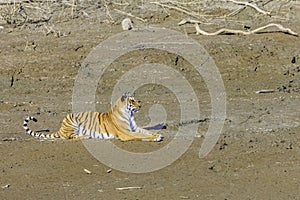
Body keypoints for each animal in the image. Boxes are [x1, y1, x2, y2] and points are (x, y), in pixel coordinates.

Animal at [22, 92, 164, 142]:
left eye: (137, 100)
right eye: (132, 100)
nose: (140, 105)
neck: (130, 114)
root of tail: (61, 128)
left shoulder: (134, 128)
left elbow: (145, 131)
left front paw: (157, 134)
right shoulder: (126, 133)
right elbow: (141, 135)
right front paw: (156, 137)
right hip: (72, 121)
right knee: (70, 137)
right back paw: (86, 136)